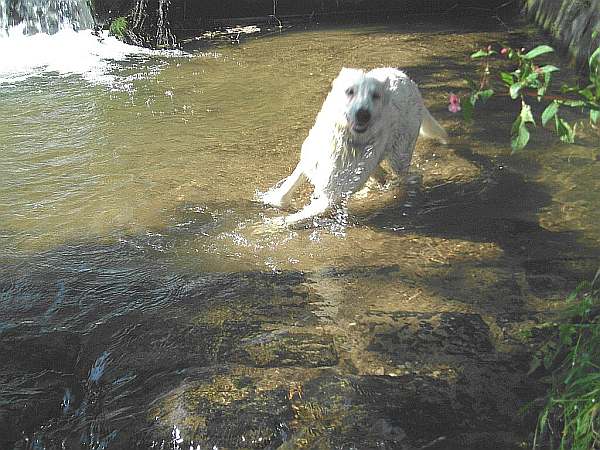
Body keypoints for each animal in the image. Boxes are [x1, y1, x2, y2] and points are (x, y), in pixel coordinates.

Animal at [260, 67, 448, 227]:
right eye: (350, 91)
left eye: (375, 95)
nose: (363, 114)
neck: (346, 140)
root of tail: (407, 79)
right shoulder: (310, 159)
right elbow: (287, 187)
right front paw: (272, 200)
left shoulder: (331, 196)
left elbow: (293, 218)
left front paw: (271, 225)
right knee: (381, 174)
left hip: (399, 156)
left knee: (409, 175)